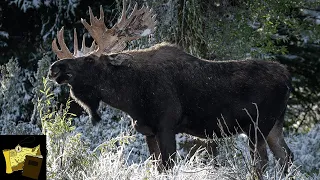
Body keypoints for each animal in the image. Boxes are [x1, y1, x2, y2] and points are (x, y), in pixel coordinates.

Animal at [47, 0, 292, 177]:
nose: (55, 68)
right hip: (274, 125)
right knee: (286, 157)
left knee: (261, 162)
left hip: (258, 125)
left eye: (89, 60)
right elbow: (158, 167)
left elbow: (169, 165)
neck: (130, 99)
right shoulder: (148, 130)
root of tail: (288, 77)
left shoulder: (167, 125)